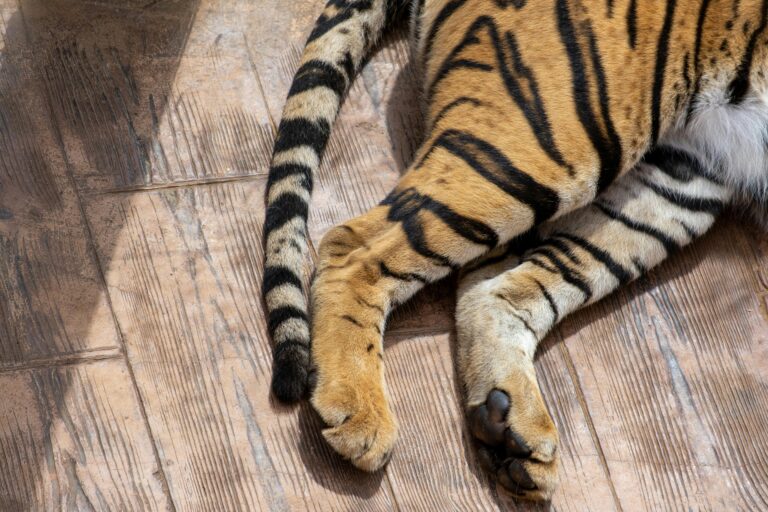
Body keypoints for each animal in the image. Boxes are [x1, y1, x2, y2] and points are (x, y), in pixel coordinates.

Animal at [261, 0, 767, 500]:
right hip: (551, 140)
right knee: (353, 247)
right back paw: (359, 413)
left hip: (677, 182)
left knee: (496, 287)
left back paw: (509, 430)